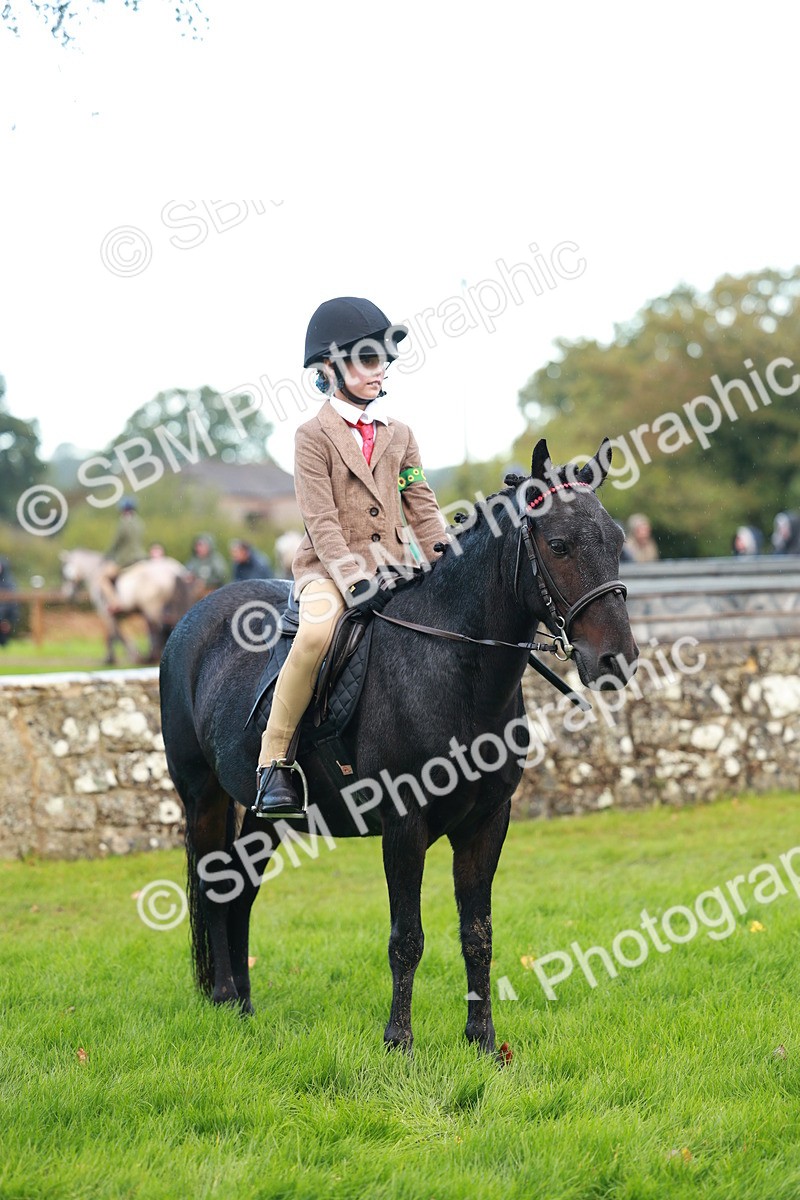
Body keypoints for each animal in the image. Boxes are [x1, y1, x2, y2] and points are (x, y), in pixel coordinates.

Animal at [60, 549, 198, 665]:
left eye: (65, 574)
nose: (67, 593)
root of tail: (174, 571)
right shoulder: (117, 615)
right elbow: (118, 634)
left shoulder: (105, 613)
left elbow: (113, 633)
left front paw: (112, 658)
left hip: (152, 609)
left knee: (157, 629)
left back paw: (152, 656)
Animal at [159, 441, 638, 1055]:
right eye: (558, 545)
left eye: (617, 540)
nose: (616, 659)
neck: (456, 665)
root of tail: (195, 615)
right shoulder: (404, 826)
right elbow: (406, 938)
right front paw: (399, 1043)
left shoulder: (487, 822)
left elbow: (477, 933)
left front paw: (483, 1041)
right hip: (203, 796)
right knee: (215, 886)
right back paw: (223, 997)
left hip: (266, 815)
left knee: (239, 892)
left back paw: (242, 1003)